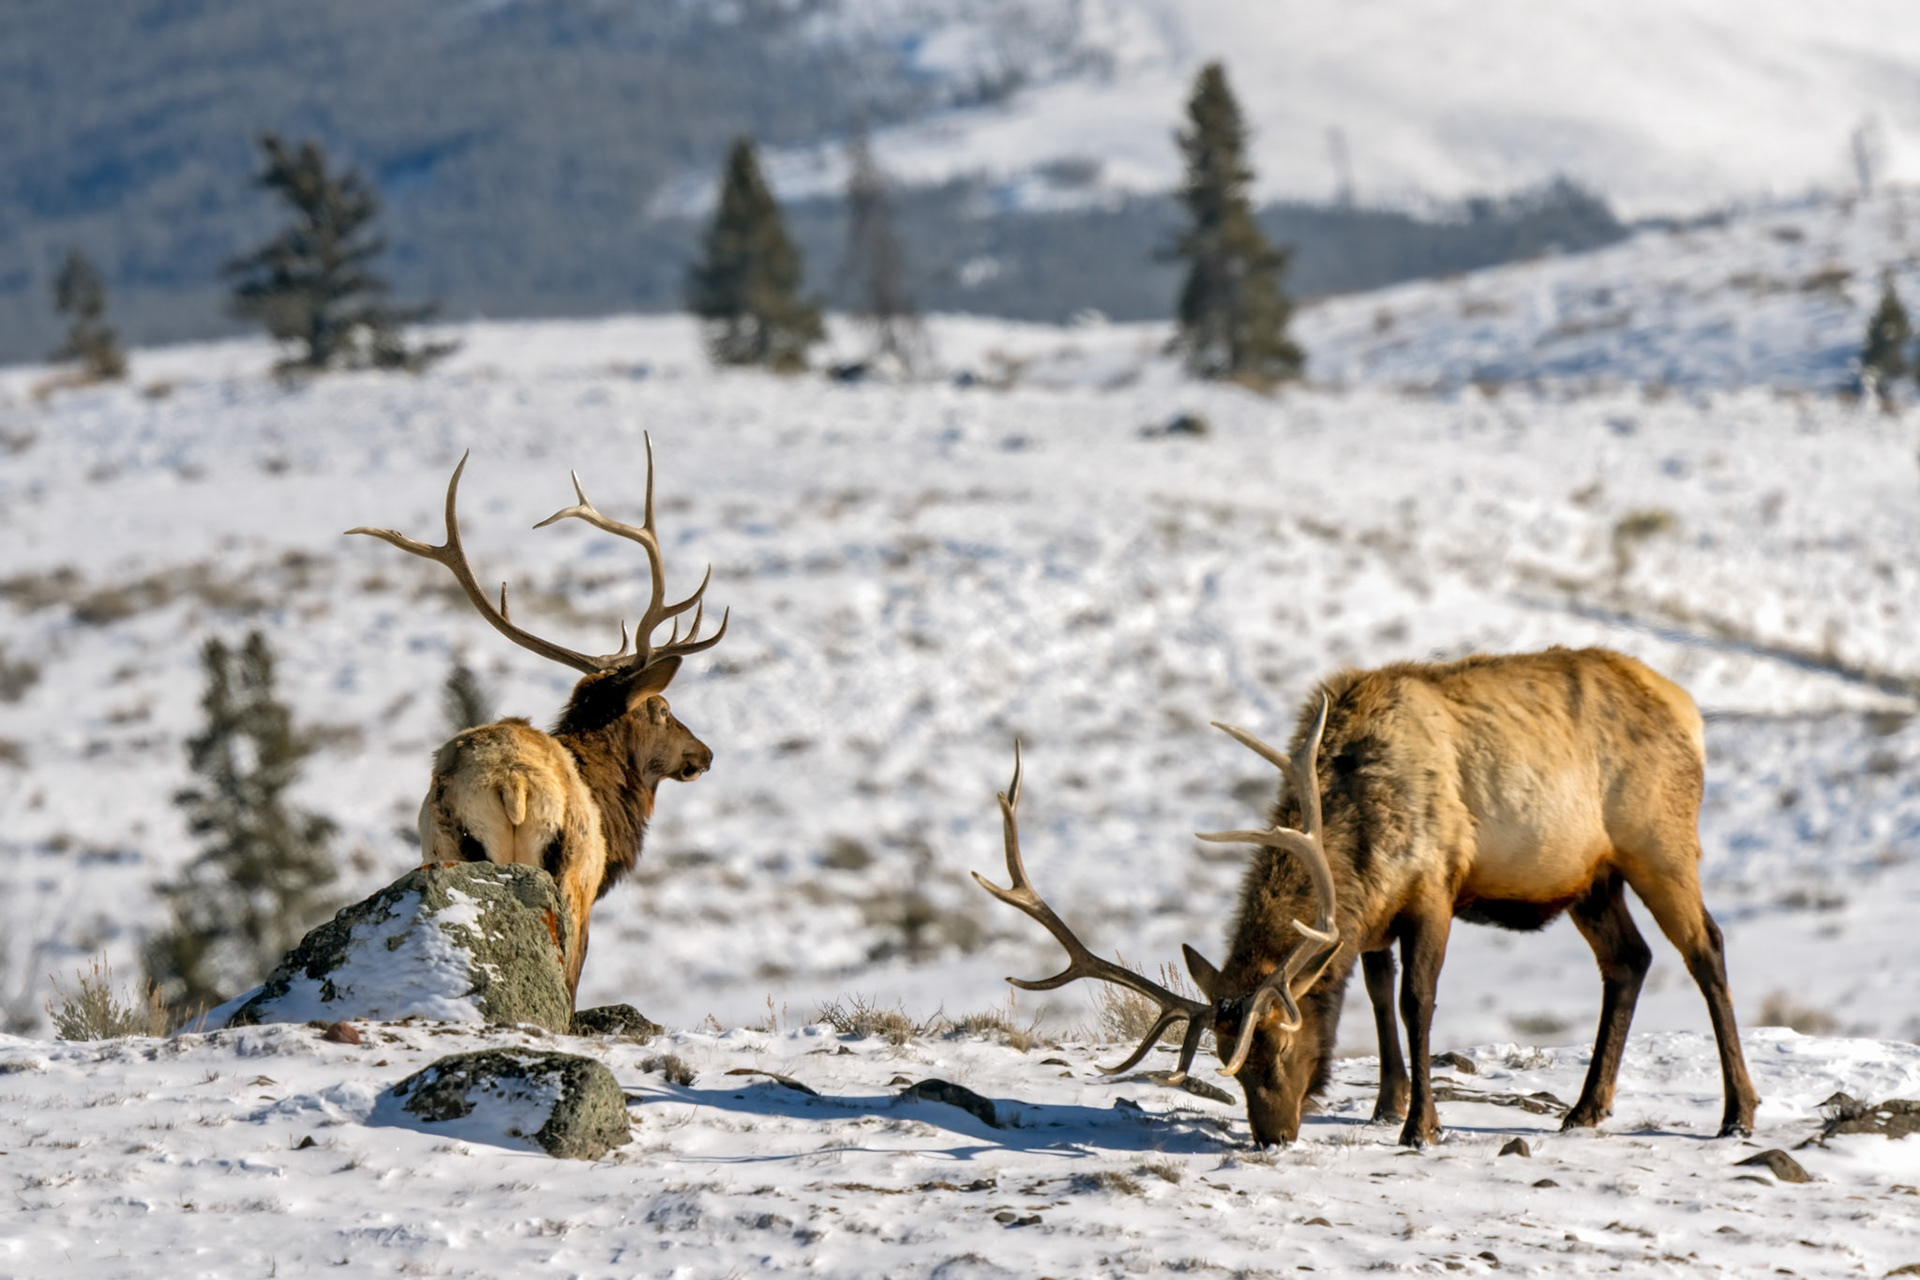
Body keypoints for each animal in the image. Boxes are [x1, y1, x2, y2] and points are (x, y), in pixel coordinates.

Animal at [348, 437, 724, 999]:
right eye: (662, 709)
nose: (704, 754)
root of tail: (511, 783)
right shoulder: (589, 890)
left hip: (445, 847)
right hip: (559, 873)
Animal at [975, 646, 1760, 1149]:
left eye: (1279, 1046)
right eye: (1230, 1060)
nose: (1273, 1139)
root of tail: (1690, 710)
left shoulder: (1435, 887)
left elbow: (1416, 1001)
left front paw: (1422, 1127)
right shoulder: (1374, 921)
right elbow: (1378, 995)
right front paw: (1387, 1106)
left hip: (1660, 841)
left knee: (1707, 948)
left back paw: (1738, 1113)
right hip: (1590, 879)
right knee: (1629, 960)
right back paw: (1586, 1110)